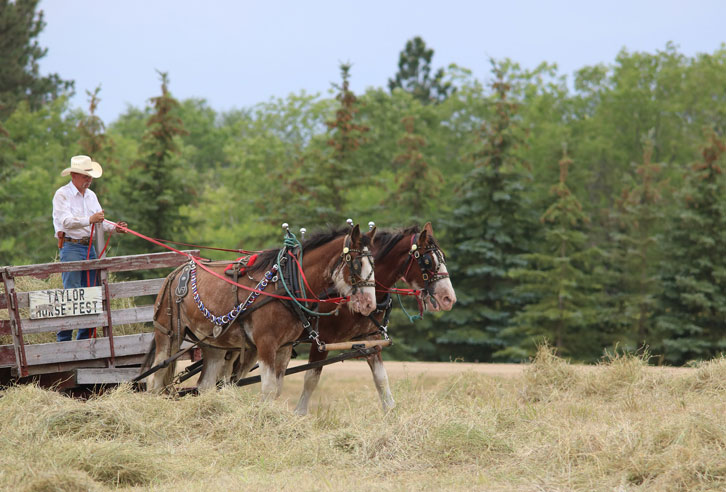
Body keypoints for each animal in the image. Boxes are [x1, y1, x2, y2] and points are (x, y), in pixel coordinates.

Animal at [145, 223, 378, 396]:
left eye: (374, 263)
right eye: (356, 264)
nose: (370, 304)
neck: (286, 283)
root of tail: (176, 272)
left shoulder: (284, 347)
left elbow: (276, 390)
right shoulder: (266, 344)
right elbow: (268, 389)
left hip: (212, 344)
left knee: (205, 385)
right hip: (169, 335)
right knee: (155, 380)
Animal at [294, 223, 458, 416]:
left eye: (443, 257)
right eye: (427, 261)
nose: (449, 298)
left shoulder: (371, 338)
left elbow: (381, 379)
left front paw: (392, 413)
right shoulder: (322, 339)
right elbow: (310, 379)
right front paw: (299, 414)